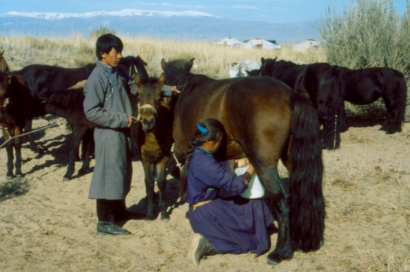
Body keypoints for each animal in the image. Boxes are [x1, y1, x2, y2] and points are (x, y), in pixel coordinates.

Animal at [131, 73, 175, 220]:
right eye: (139, 97)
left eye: (159, 98)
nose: (148, 122)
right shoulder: (144, 157)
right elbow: (149, 182)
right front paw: (150, 212)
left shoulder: (164, 155)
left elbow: (161, 181)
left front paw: (164, 212)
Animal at [162, 58, 326, 266]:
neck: (185, 90)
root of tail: (289, 95)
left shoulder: (181, 148)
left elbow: (179, 170)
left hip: (264, 164)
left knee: (282, 200)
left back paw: (280, 251)